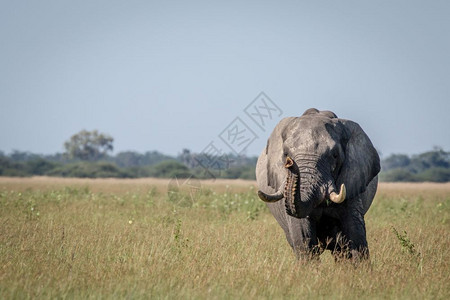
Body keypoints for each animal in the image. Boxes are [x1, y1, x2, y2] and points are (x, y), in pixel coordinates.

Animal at [256, 108, 380, 260]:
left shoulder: (352, 181)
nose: (290, 163)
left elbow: (355, 232)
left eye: (334, 155)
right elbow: (302, 235)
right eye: (286, 154)